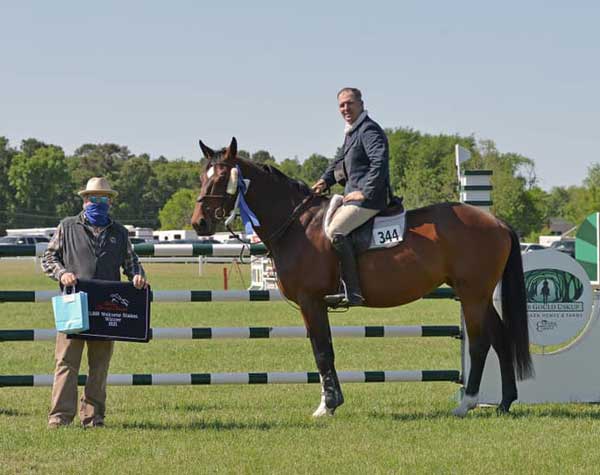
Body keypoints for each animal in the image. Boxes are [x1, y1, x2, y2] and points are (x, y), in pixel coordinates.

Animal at [190, 137, 532, 416]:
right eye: (202, 177)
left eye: (222, 178)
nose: (199, 223)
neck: (299, 224)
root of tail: (496, 222)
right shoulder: (313, 304)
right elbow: (324, 349)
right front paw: (329, 402)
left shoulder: (311, 301)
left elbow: (322, 351)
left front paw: (328, 406)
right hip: (479, 295)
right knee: (501, 339)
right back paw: (504, 403)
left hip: (473, 295)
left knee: (480, 344)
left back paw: (466, 404)